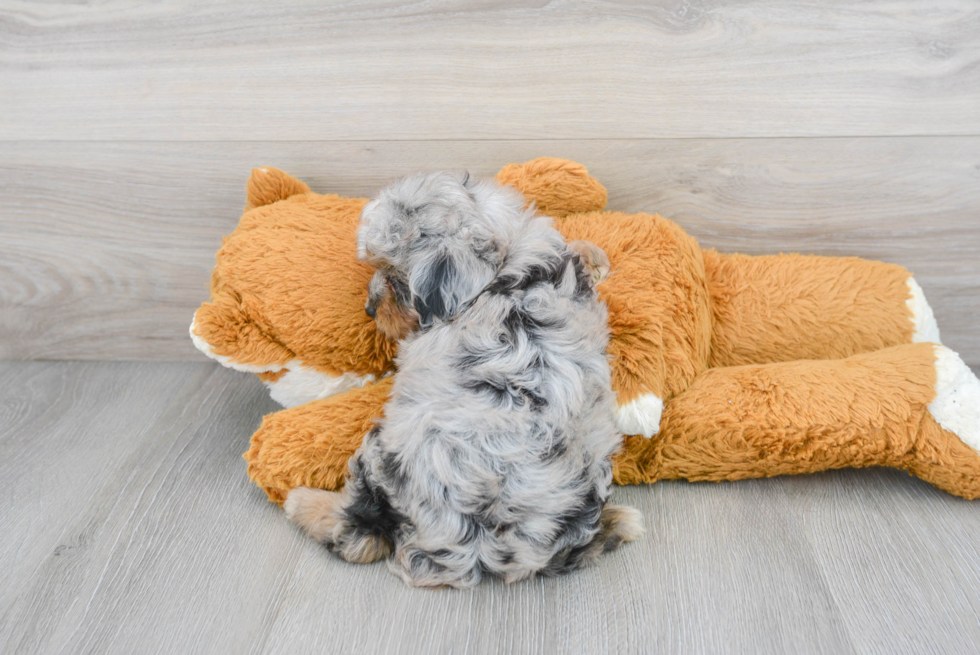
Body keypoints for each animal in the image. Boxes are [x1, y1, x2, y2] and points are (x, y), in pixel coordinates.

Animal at [284, 170, 644, 588]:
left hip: (383, 452)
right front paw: (593, 255)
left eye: (395, 278)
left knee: (361, 535)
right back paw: (619, 523)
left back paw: (303, 502)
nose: (370, 309)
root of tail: (483, 547)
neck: (507, 272)